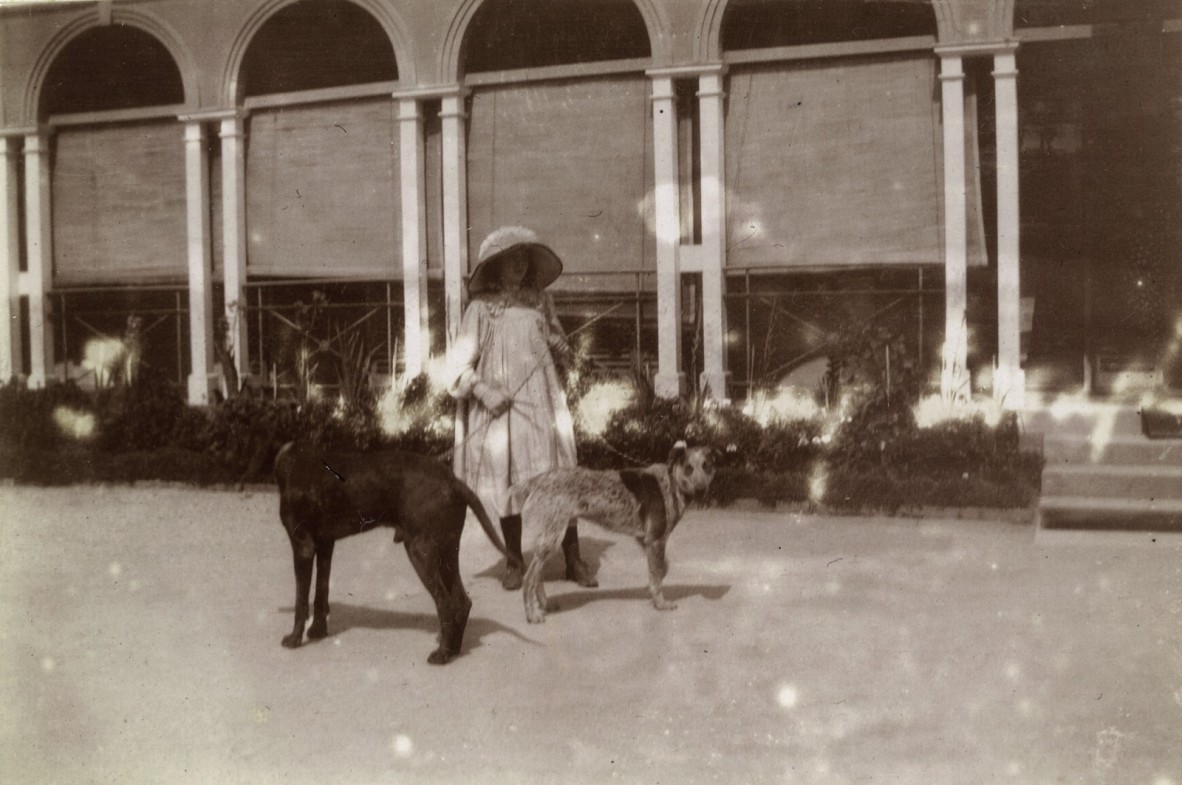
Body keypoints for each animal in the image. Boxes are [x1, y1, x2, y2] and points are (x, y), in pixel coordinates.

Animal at [271, 442, 508, 662]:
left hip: (421, 551)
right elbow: (321, 593)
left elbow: (301, 601)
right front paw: (317, 631)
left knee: (446, 602)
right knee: (461, 601)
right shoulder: (324, 545)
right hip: (447, 552)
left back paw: (441, 655)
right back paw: (453, 652)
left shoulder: (303, 546)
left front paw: (294, 638)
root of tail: (453, 481)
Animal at [512, 444, 713, 624]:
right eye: (688, 468)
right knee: (529, 578)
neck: (671, 484)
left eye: (706, 466)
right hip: (552, 539)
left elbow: (661, 569)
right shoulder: (655, 540)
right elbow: (657, 576)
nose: (702, 490)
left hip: (548, 541)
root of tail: (536, 480)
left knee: (537, 576)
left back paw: (544, 605)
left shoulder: (645, 539)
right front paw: (660, 603)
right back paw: (532, 614)